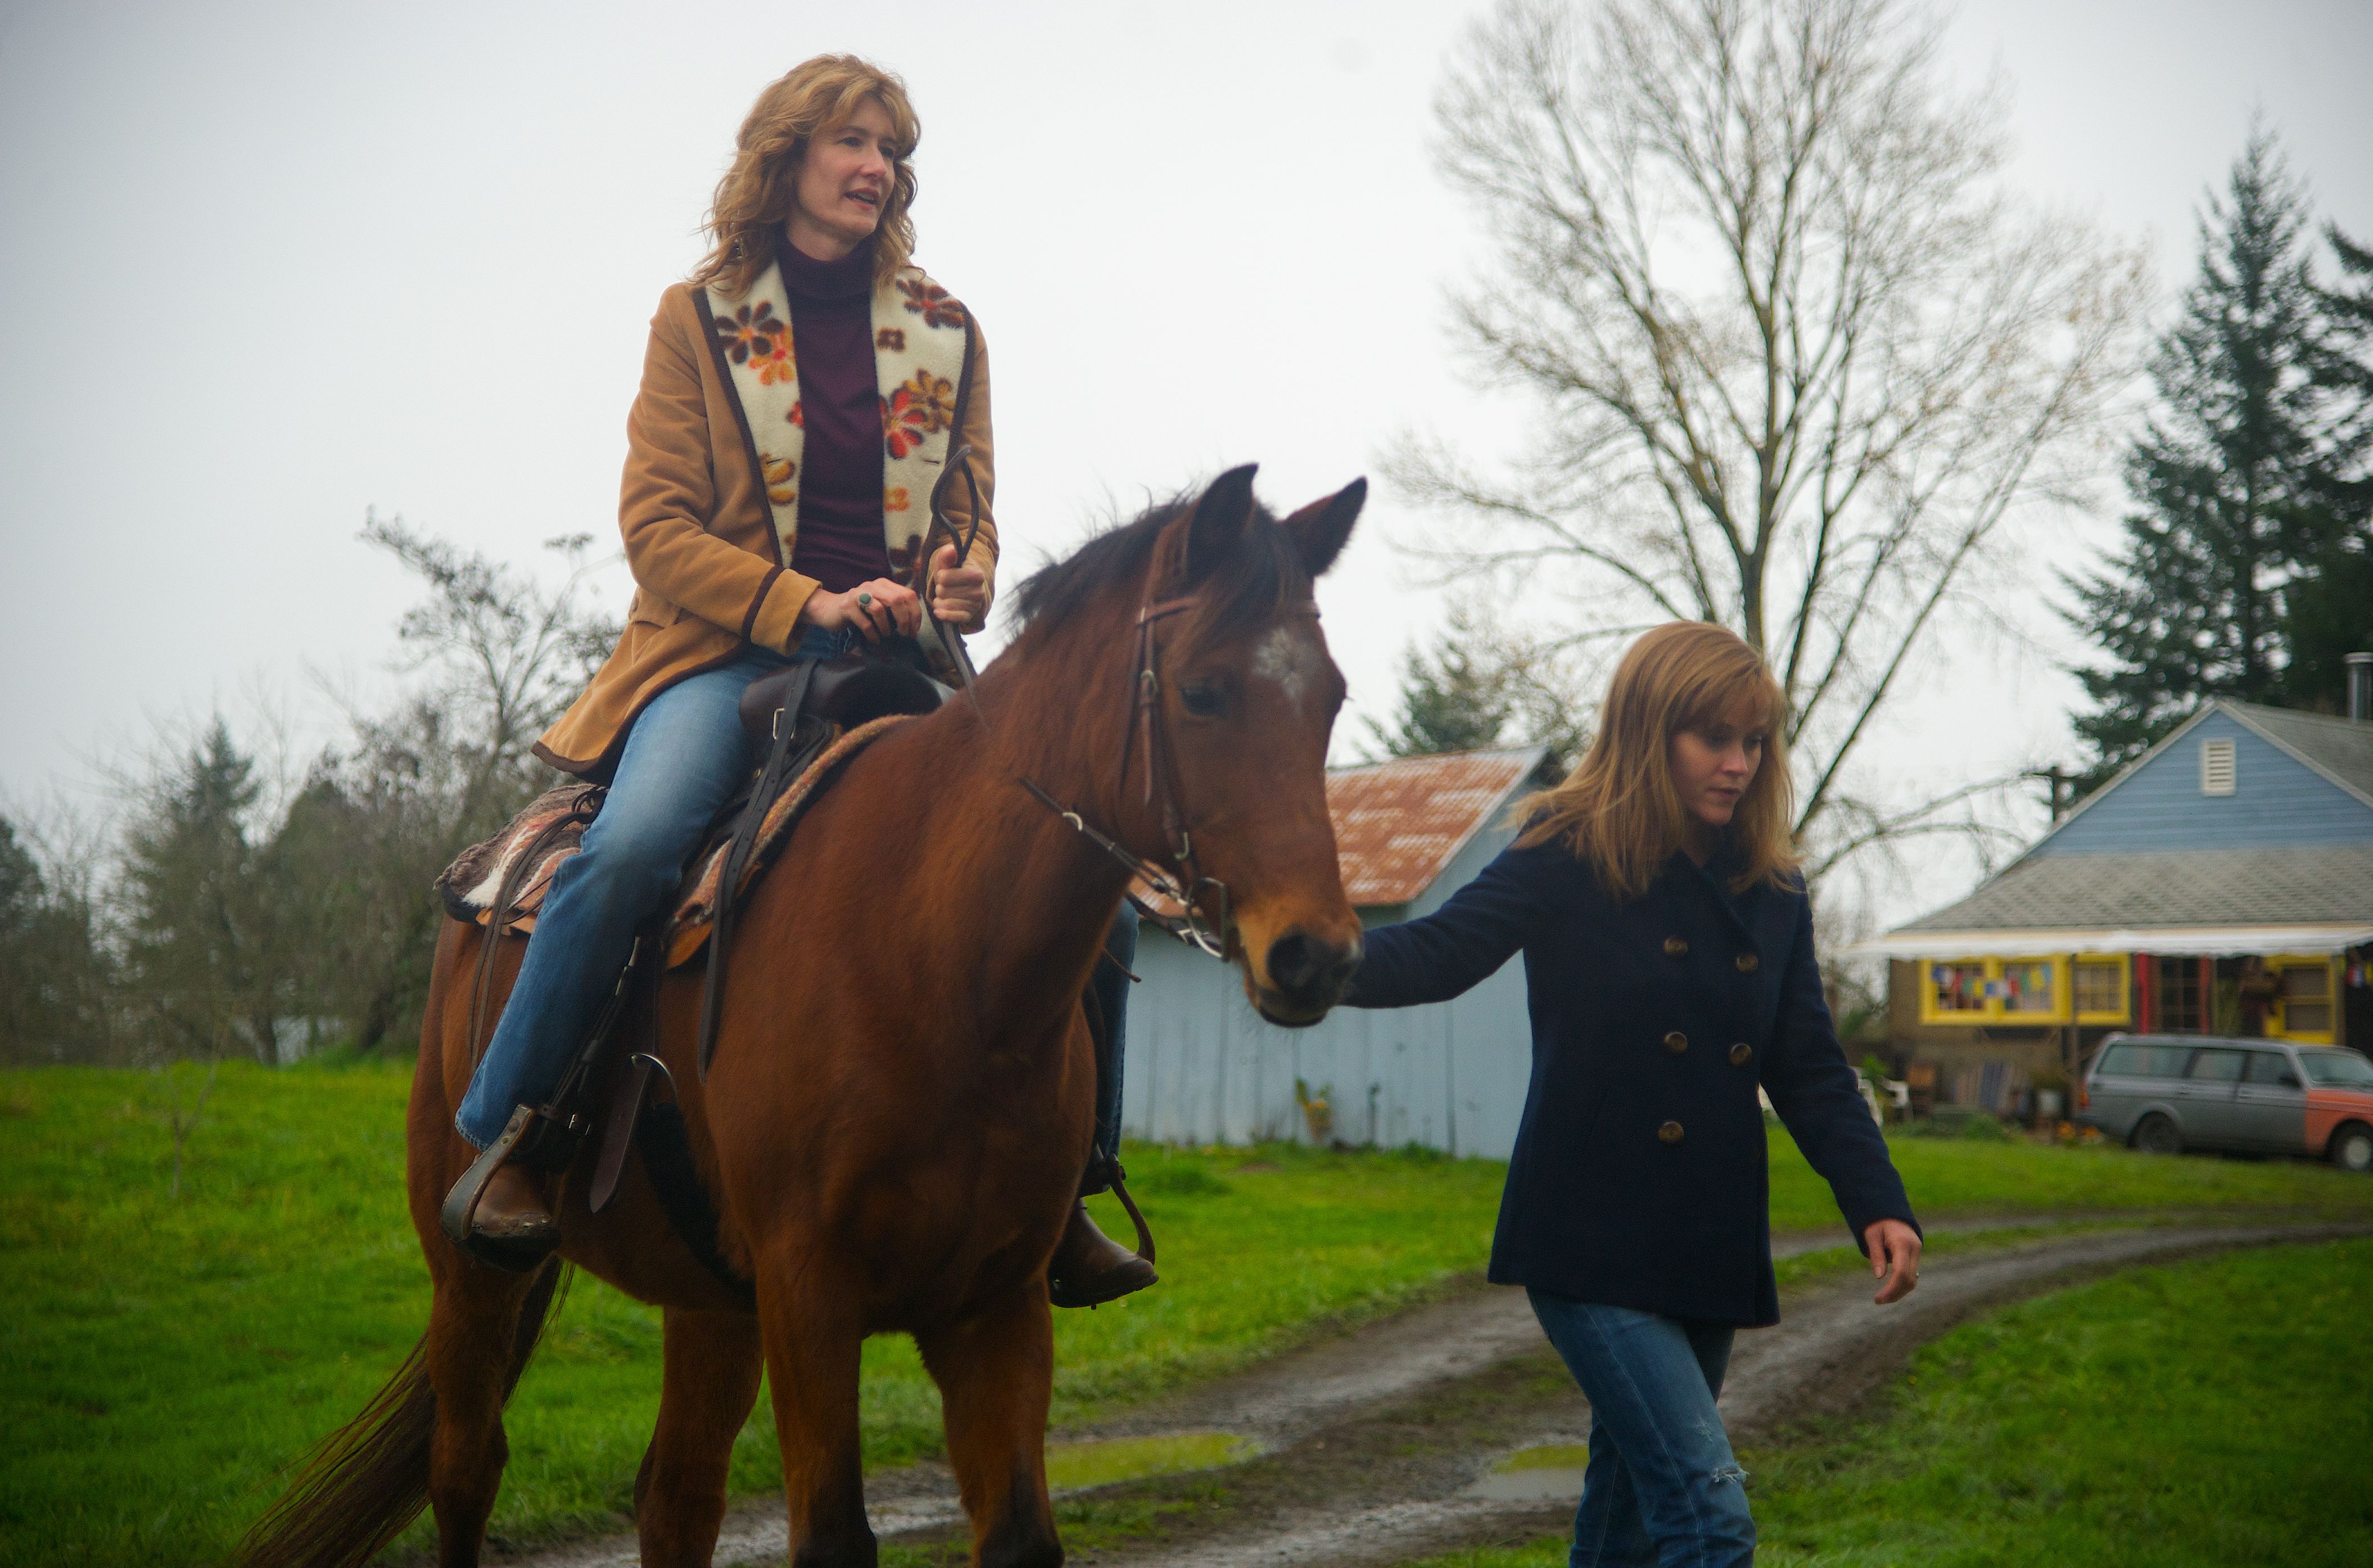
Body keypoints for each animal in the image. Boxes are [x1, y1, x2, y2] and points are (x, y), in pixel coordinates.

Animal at [241, 467, 1376, 1565]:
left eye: (1332, 696)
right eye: (1202, 690)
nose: (1315, 952)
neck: (932, 961)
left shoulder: (997, 1304)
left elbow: (1019, 1534)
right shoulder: (809, 1296)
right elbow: (833, 1535)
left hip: (709, 1301)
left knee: (676, 1499)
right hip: (475, 1271)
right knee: (467, 1468)